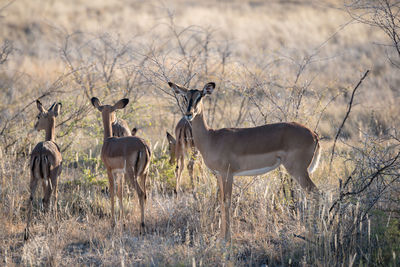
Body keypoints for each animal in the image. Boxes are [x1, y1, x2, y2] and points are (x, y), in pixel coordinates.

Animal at [25, 100, 63, 241]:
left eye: (38, 116)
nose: (36, 126)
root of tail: (41, 151)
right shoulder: (55, 177)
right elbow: (53, 197)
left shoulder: (43, 179)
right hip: (51, 178)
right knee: (49, 198)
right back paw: (52, 227)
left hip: (34, 178)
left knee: (31, 198)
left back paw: (26, 233)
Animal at [91, 97, 151, 231]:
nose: (115, 121)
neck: (108, 142)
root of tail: (143, 146)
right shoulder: (120, 173)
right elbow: (120, 193)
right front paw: (122, 222)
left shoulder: (109, 170)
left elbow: (112, 193)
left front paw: (113, 223)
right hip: (144, 173)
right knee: (145, 194)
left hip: (131, 174)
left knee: (140, 193)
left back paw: (142, 224)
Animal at [167, 81, 320, 241]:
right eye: (185, 96)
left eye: (200, 96)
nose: (189, 114)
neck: (211, 138)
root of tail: (314, 134)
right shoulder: (220, 175)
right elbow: (221, 202)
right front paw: (220, 237)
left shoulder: (228, 174)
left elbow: (227, 202)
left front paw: (227, 239)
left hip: (298, 170)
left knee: (315, 193)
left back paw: (313, 234)